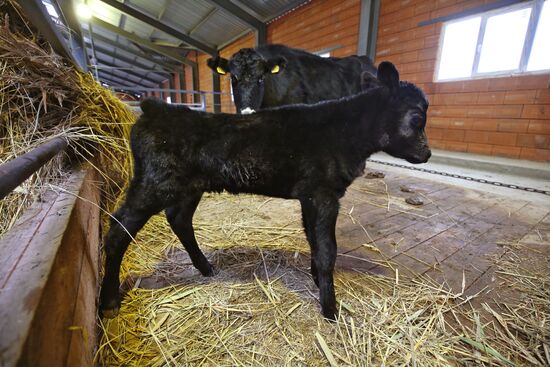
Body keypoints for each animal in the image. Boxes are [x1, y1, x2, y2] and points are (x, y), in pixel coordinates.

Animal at [101, 61, 434, 320]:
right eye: (418, 118)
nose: (427, 153)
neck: (347, 131)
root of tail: (154, 108)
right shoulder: (324, 193)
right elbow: (328, 249)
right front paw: (330, 309)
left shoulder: (309, 196)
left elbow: (314, 240)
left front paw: (317, 281)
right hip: (154, 183)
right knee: (117, 230)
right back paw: (108, 301)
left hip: (188, 186)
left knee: (179, 219)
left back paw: (206, 268)